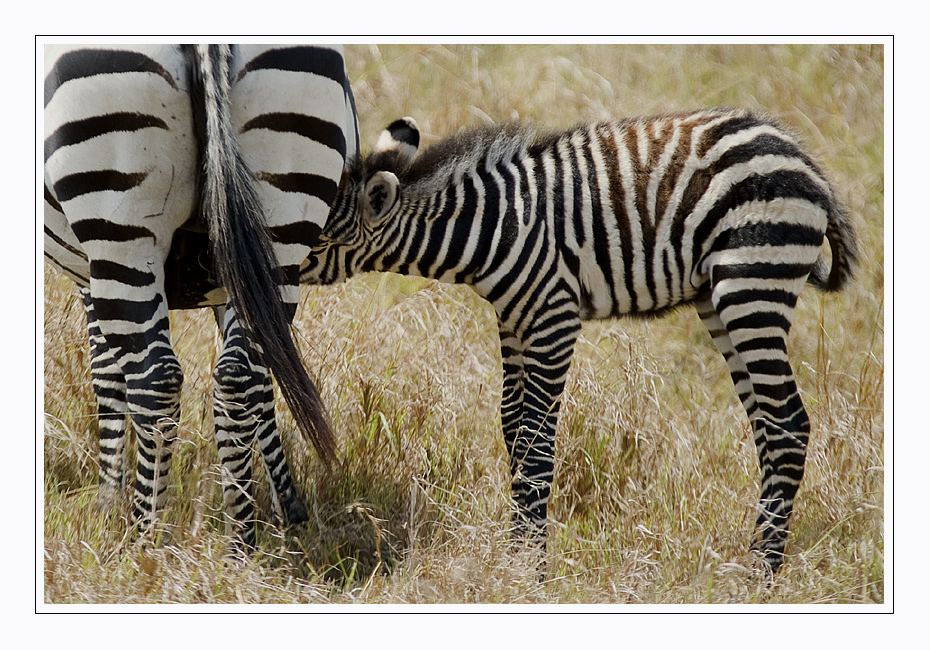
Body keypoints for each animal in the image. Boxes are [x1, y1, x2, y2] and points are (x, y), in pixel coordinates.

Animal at [46, 43, 358, 544]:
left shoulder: (86, 273)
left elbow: (106, 374)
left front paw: (107, 502)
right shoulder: (233, 272)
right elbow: (267, 382)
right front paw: (287, 505)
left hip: (119, 220)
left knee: (156, 382)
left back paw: (145, 542)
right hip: (280, 220)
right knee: (238, 377)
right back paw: (240, 541)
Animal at [300, 109, 860, 568]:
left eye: (319, 238)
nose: (277, 264)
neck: (492, 228)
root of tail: (800, 156)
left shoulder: (554, 319)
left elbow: (537, 441)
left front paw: (530, 570)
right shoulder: (514, 321)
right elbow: (513, 429)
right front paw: (518, 554)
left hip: (753, 284)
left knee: (788, 424)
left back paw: (761, 573)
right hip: (720, 300)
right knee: (767, 424)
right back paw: (753, 556)